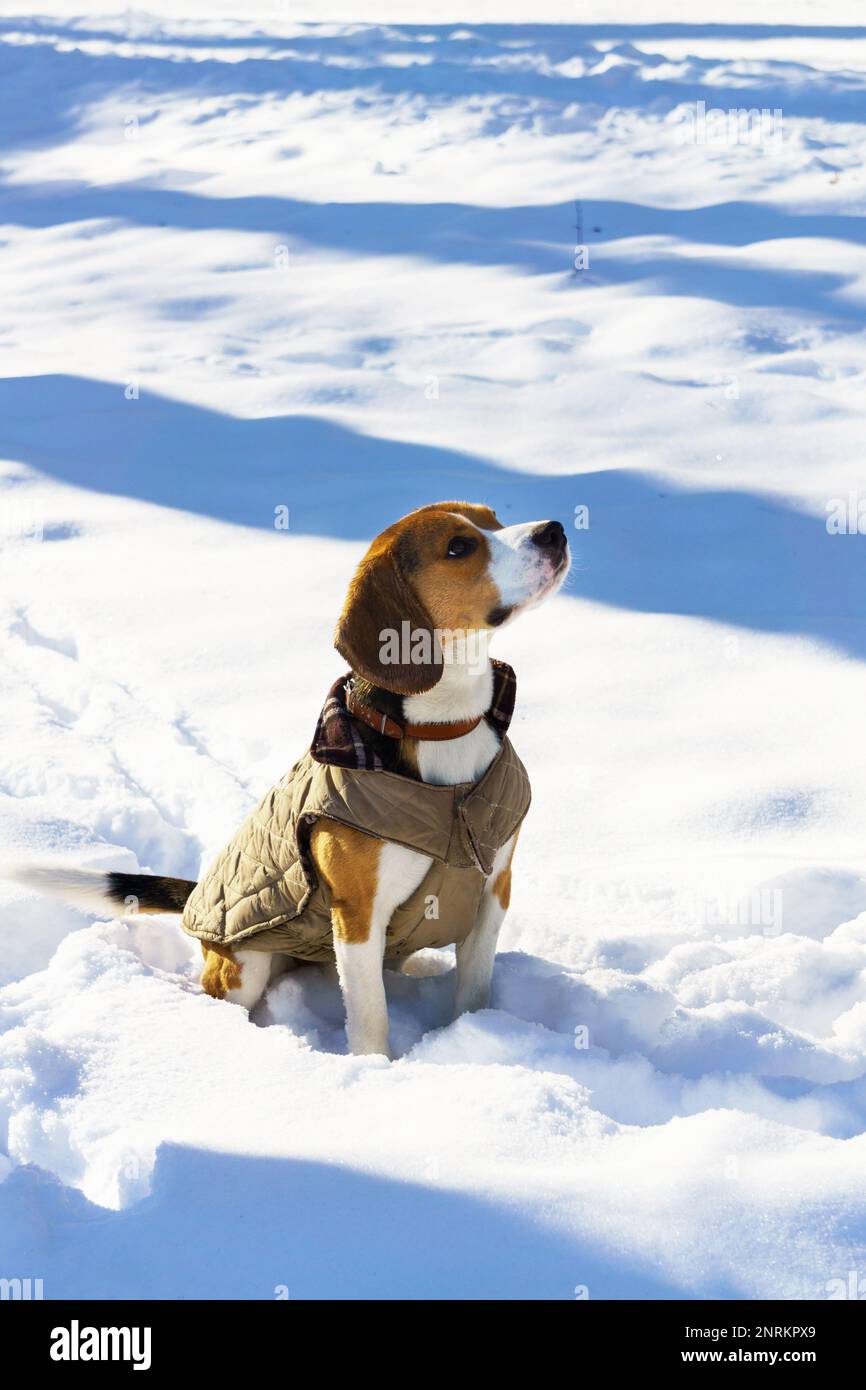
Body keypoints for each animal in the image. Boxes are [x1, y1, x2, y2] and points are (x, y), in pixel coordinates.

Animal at [11, 505, 575, 1056]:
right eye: (459, 547)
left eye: (495, 519)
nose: (555, 531)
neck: (441, 727)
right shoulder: (358, 914)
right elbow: (370, 1020)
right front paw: (376, 1072)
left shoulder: (491, 893)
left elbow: (472, 992)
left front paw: (475, 1037)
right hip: (245, 963)